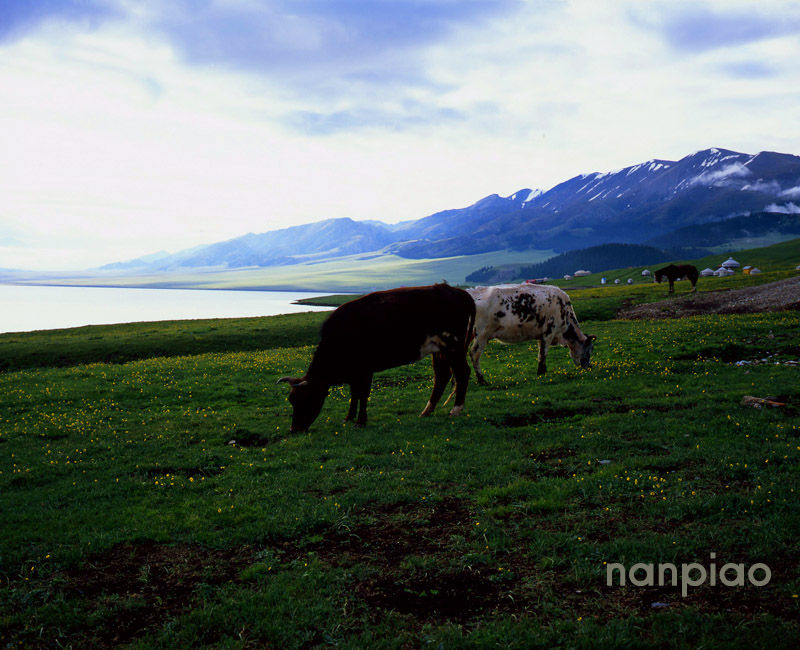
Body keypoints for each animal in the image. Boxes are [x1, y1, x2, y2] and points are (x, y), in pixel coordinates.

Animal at [276, 284, 476, 430]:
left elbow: (363, 394)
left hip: (453, 346)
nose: (294, 430)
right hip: (439, 350)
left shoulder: (365, 369)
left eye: (306, 398)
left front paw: (360, 421)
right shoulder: (354, 373)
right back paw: (427, 410)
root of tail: (455, 290)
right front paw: (349, 417)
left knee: (462, 372)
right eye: (291, 400)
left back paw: (456, 410)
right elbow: (354, 394)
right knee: (442, 376)